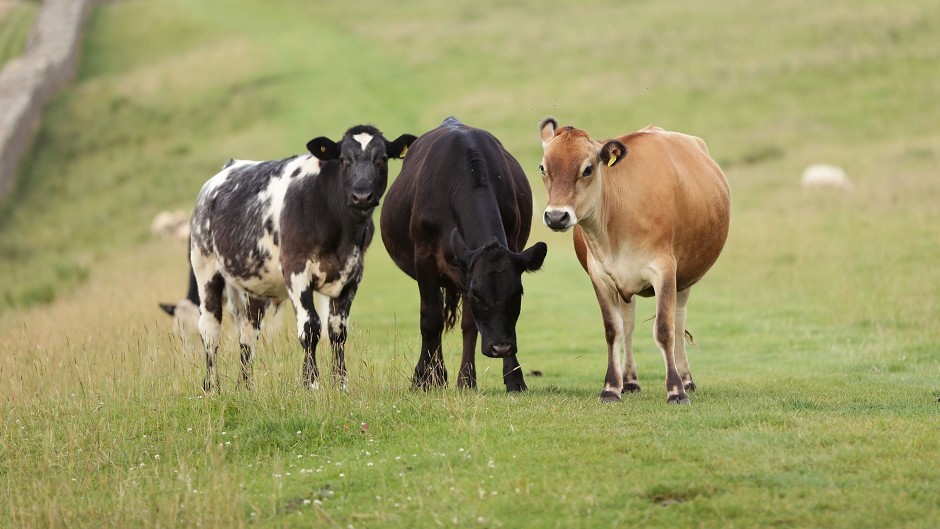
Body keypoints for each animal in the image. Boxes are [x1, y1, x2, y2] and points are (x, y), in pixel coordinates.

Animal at [191, 122, 414, 388]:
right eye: (343, 159)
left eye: (381, 158)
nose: (362, 196)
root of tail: (228, 167)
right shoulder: (296, 270)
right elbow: (310, 327)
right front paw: (311, 383)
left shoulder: (353, 274)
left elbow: (337, 330)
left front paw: (341, 385)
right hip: (205, 268)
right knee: (210, 329)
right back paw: (211, 388)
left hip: (255, 283)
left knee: (247, 333)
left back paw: (246, 388)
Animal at [380, 117, 548, 390]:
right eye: (477, 295)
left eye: (517, 294)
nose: (500, 347)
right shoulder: (425, 259)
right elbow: (430, 319)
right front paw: (422, 379)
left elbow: (471, 324)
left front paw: (508, 378)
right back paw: (436, 376)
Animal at [536, 117, 736, 402]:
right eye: (543, 167)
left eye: (588, 169)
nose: (556, 216)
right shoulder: (600, 276)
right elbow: (613, 330)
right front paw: (611, 387)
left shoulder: (664, 270)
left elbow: (664, 330)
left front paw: (675, 390)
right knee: (628, 324)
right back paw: (629, 380)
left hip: (685, 277)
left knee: (678, 322)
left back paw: (686, 379)